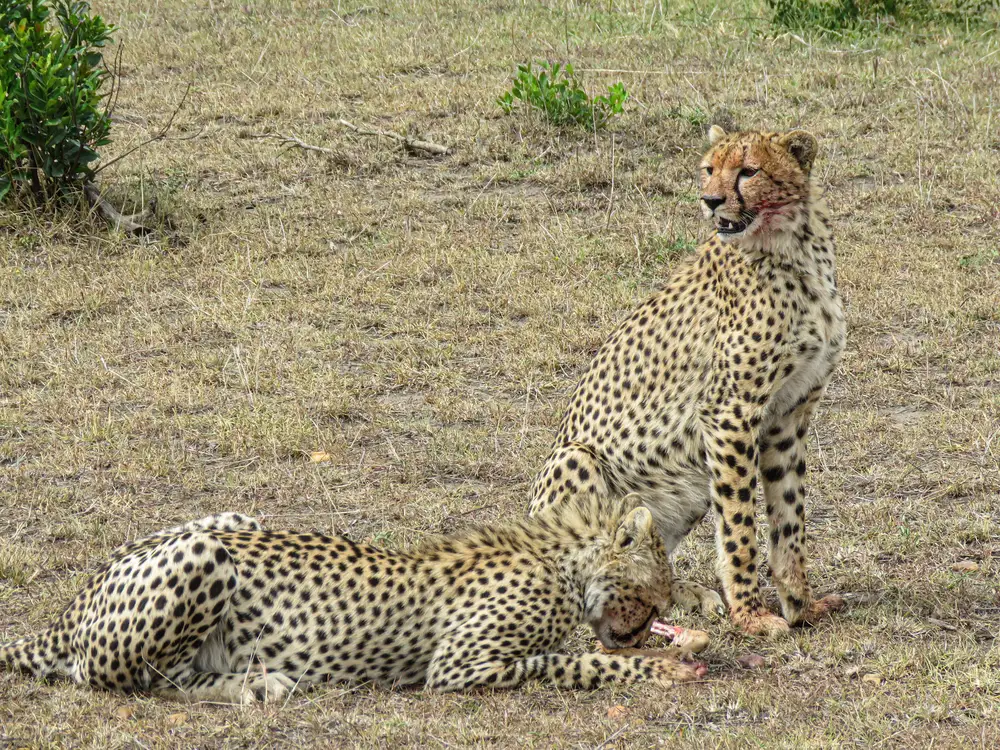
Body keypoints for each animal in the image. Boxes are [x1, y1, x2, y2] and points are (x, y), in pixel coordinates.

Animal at [0, 506, 708, 704]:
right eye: (651, 594)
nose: (646, 625)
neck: (565, 564)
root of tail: (75, 602)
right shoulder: (458, 667)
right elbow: (571, 660)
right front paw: (666, 666)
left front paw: (685, 644)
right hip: (205, 552)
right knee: (129, 677)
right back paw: (257, 685)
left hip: (233, 519)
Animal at [532, 126, 844, 636]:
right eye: (708, 168)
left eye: (749, 171)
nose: (710, 200)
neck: (791, 247)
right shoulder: (729, 413)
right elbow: (739, 524)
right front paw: (751, 613)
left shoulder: (789, 415)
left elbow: (788, 517)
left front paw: (801, 605)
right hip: (578, 458)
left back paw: (685, 594)